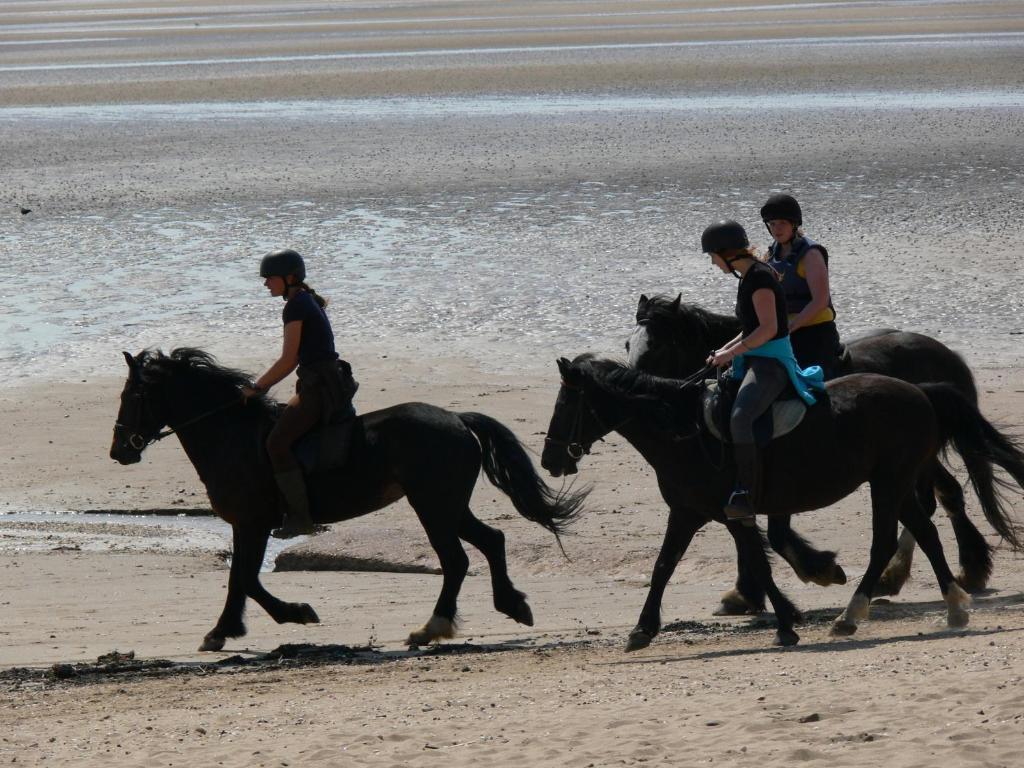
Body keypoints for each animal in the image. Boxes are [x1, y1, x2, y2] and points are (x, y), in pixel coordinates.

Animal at [110, 352, 585, 651]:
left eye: (132, 397)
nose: (119, 452)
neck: (231, 435)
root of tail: (456, 419)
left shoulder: (254, 522)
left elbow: (246, 578)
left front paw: (296, 613)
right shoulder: (243, 525)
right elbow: (237, 579)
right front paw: (222, 631)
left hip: (432, 505)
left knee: (457, 560)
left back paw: (431, 628)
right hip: (448, 505)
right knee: (492, 541)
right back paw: (512, 605)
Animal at [540, 354, 1019, 651]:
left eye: (565, 404)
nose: (548, 461)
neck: (684, 431)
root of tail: (920, 392)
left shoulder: (729, 512)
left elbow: (756, 562)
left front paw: (787, 622)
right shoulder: (690, 512)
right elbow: (665, 566)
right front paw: (642, 630)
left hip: (889, 483)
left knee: (885, 541)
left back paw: (850, 615)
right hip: (896, 485)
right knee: (927, 532)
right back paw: (954, 607)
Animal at [626, 290, 987, 606]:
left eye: (656, 345)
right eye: (628, 344)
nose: (634, 388)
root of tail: (948, 356)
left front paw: (790, 578)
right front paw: (752, 591)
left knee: (938, 497)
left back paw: (935, 570)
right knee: (941, 495)